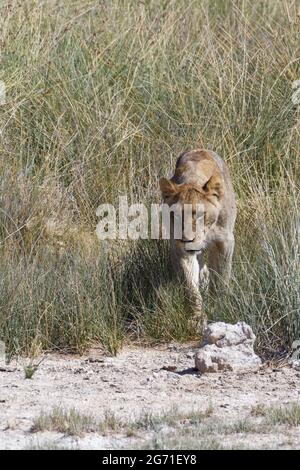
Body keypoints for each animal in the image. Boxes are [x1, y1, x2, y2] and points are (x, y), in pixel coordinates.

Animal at [159, 149, 237, 328]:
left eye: (200, 214)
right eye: (176, 216)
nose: (187, 239)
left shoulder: (225, 241)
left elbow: (222, 277)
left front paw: (220, 305)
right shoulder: (180, 249)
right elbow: (190, 286)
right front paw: (196, 319)